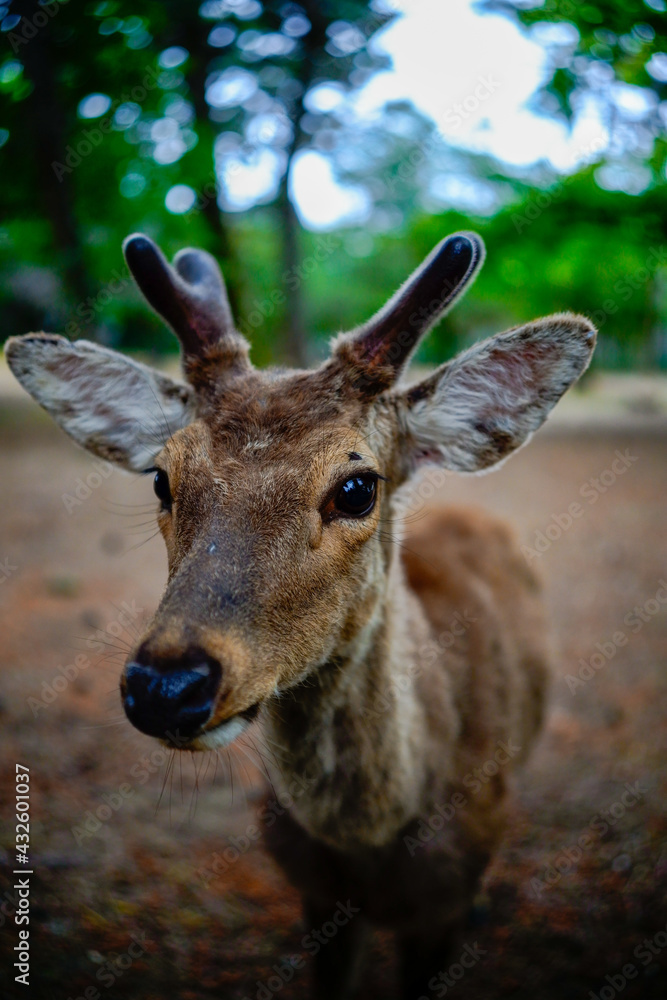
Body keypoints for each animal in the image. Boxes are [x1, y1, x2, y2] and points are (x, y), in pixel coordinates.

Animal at [5, 230, 595, 999]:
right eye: (162, 477)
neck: (371, 844)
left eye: (356, 487)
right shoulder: (314, 896)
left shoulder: (442, 903)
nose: (166, 685)